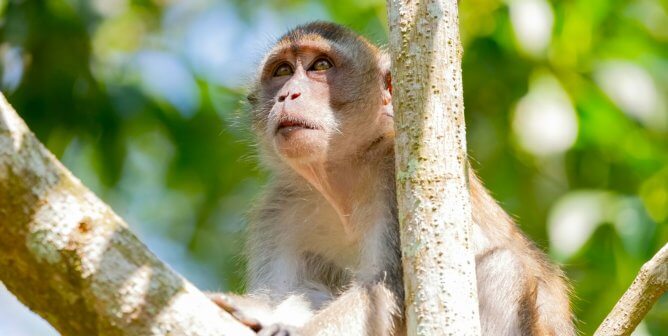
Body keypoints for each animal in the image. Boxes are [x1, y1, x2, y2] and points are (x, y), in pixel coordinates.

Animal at [210, 21, 576, 336]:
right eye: (283, 71)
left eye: (320, 66)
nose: (288, 95)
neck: (342, 178)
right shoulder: (276, 212)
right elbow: (284, 290)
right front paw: (259, 312)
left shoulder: (393, 170)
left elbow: (382, 290)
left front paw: (285, 328)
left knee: (503, 267)